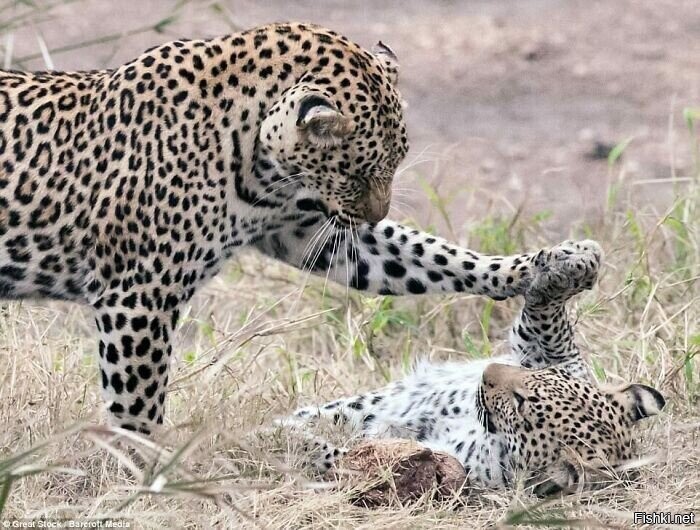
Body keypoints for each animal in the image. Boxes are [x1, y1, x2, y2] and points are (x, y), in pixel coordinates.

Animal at [0, 21, 604, 436]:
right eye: (358, 170)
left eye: (398, 161)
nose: (375, 214)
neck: (252, 156)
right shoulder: (138, 294)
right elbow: (137, 401)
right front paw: (148, 472)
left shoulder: (308, 230)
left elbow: (435, 259)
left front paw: (549, 265)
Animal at [282, 242, 666, 495]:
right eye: (548, 376)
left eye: (521, 406)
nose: (488, 371)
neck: (492, 437)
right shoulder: (545, 354)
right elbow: (547, 324)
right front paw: (565, 268)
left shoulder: (457, 466)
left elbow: (360, 459)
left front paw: (309, 449)